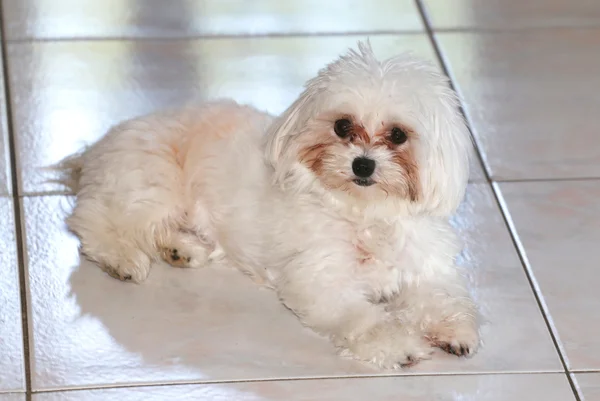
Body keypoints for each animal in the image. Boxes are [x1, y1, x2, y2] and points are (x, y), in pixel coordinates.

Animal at [63, 42, 480, 368]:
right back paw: (124, 260)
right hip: (151, 181)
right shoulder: (322, 281)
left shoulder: (425, 266)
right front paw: (399, 345)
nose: (363, 164)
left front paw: (454, 329)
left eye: (397, 135)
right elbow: (366, 317)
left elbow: (440, 297)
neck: (365, 215)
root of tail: (97, 147)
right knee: (93, 221)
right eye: (342, 126)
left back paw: (181, 250)